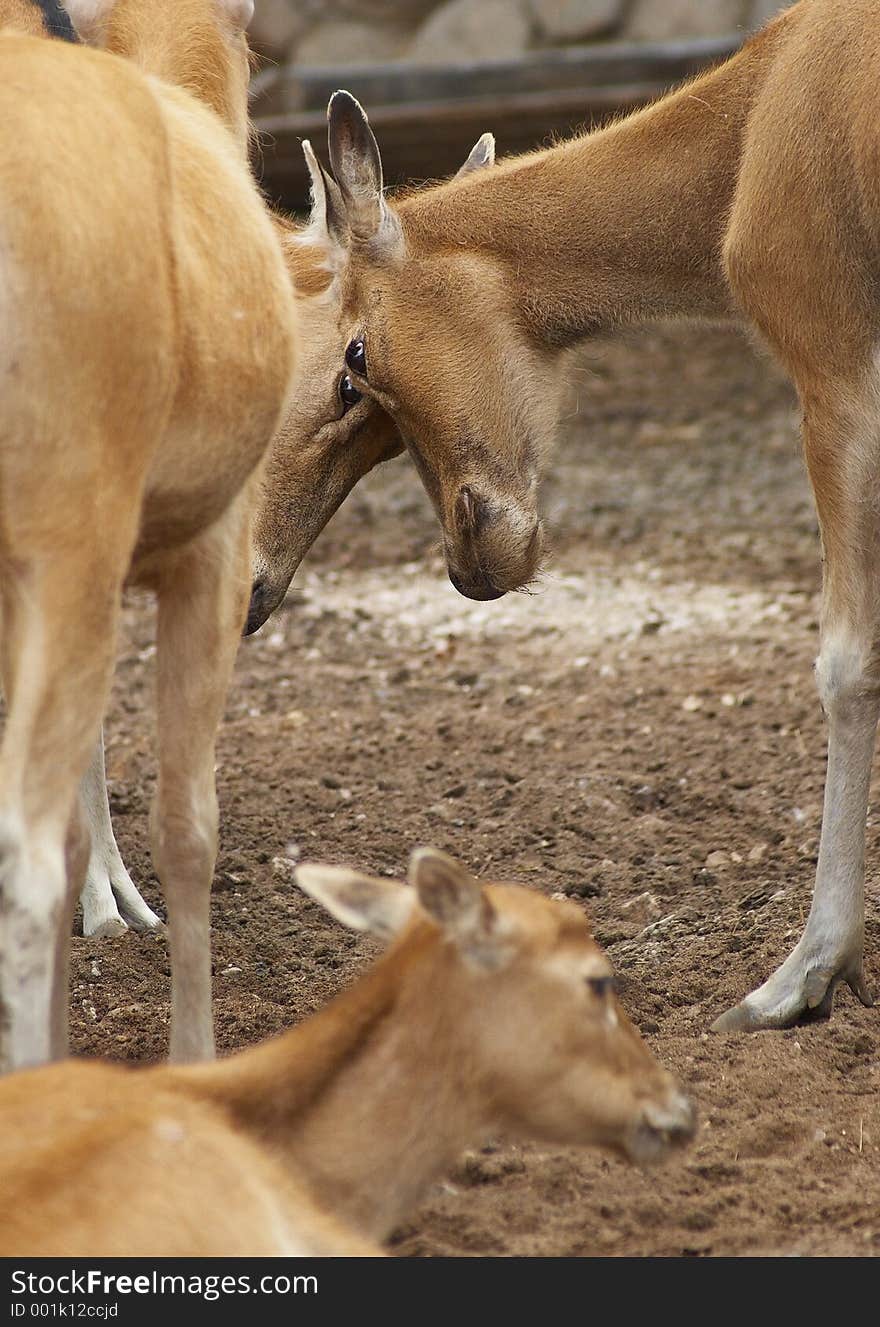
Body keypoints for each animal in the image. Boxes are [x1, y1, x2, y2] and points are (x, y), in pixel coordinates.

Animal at [244, 0, 880, 1035]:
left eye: (356, 361)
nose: (473, 561)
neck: (751, 131)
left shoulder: (837, 372)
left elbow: (845, 663)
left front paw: (803, 974)